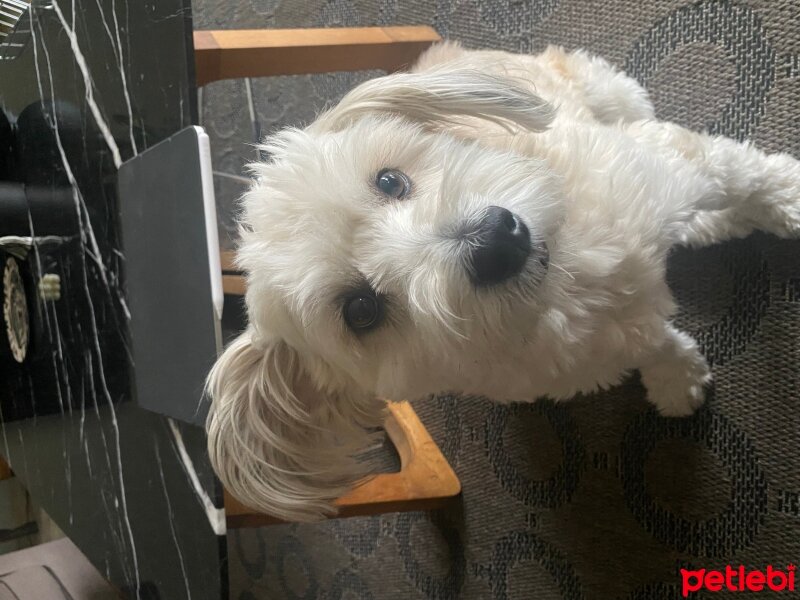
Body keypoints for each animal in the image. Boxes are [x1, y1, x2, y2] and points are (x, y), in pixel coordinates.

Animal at [205, 41, 800, 520]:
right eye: (360, 310)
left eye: (390, 180)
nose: (494, 242)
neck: (566, 275)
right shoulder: (593, 351)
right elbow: (647, 340)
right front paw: (675, 376)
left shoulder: (666, 166)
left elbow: (737, 174)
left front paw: (787, 196)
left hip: (602, 91)